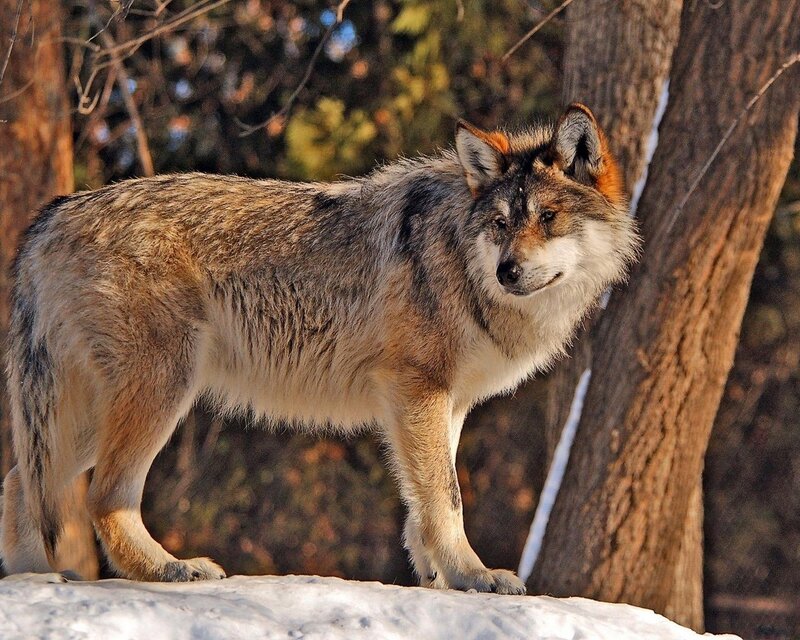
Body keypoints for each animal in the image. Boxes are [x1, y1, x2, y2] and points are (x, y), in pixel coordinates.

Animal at [0, 103, 638, 594]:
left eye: (548, 217)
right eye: (502, 223)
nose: (507, 271)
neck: (458, 258)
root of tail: (53, 214)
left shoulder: (442, 404)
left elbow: (423, 505)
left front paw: (437, 581)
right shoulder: (417, 390)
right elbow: (447, 499)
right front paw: (474, 578)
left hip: (91, 415)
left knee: (19, 479)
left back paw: (36, 580)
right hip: (160, 391)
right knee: (102, 497)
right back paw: (170, 570)